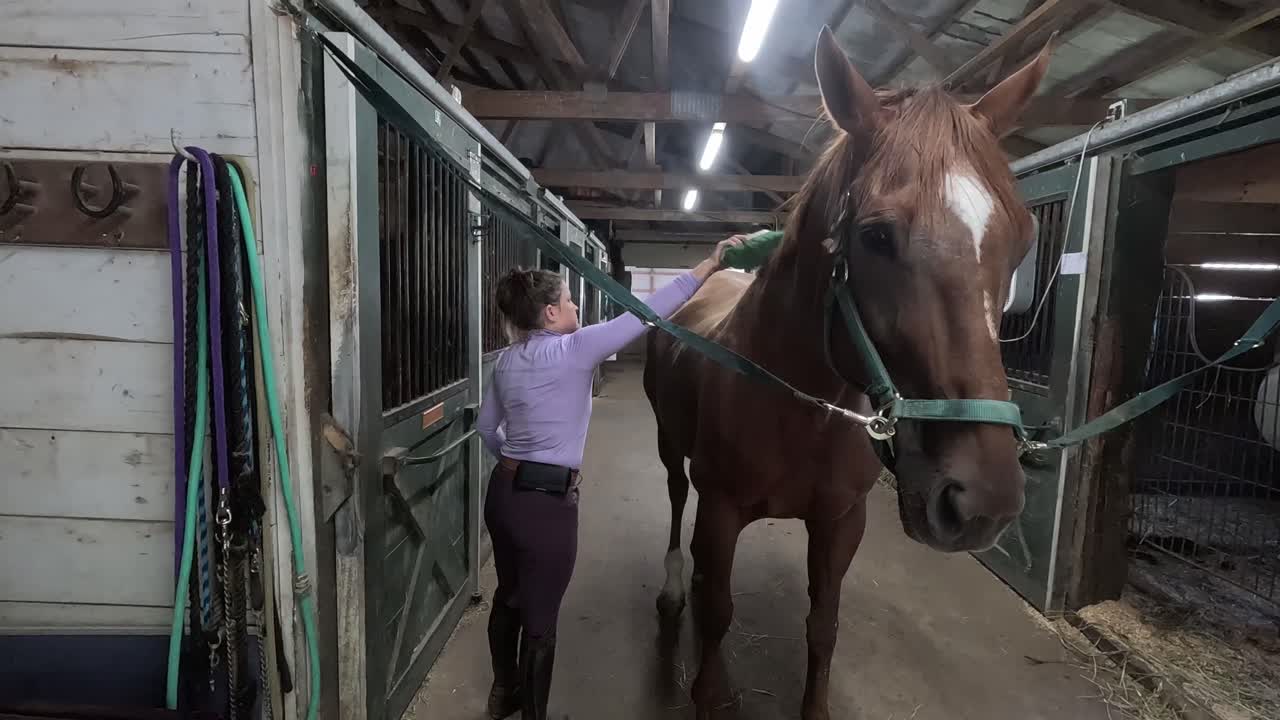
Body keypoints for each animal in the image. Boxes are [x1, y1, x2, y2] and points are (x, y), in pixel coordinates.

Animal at [642, 26, 1053, 720]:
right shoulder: (720, 510)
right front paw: (708, 688)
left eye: (1022, 240)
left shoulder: (841, 523)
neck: (798, 407)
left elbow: (823, 625)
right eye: (876, 236)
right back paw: (673, 588)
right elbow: (718, 610)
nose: (984, 502)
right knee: (673, 502)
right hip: (671, 445)